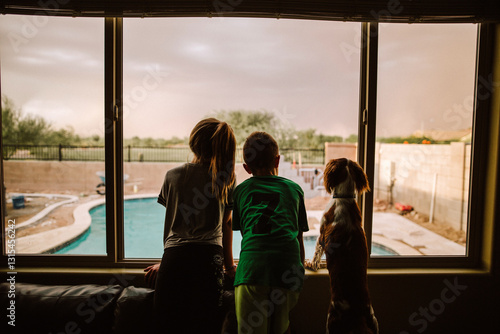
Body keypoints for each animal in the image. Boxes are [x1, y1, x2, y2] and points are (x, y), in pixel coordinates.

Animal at [304, 158, 378, 332]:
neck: (344, 197)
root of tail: (358, 311)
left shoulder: (321, 235)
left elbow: (316, 255)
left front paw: (310, 264)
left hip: (331, 322)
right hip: (375, 322)